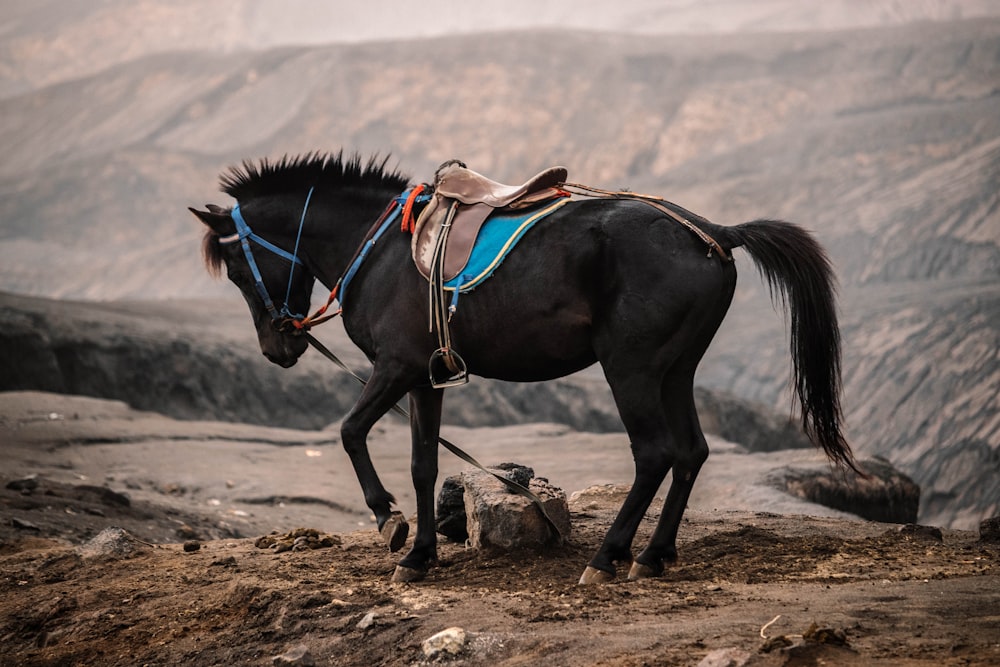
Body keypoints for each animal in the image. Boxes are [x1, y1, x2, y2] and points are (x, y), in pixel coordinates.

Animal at [191, 153, 856, 584]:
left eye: (238, 269)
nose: (278, 349)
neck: (379, 247)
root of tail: (713, 232)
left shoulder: (395, 367)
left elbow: (351, 432)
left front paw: (389, 524)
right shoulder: (425, 377)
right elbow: (424, 465)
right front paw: (420, 557)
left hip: (632, 369)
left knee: (655, 454)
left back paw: (607, 559)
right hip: (677, 370)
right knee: (691, 452)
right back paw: (654, 556)